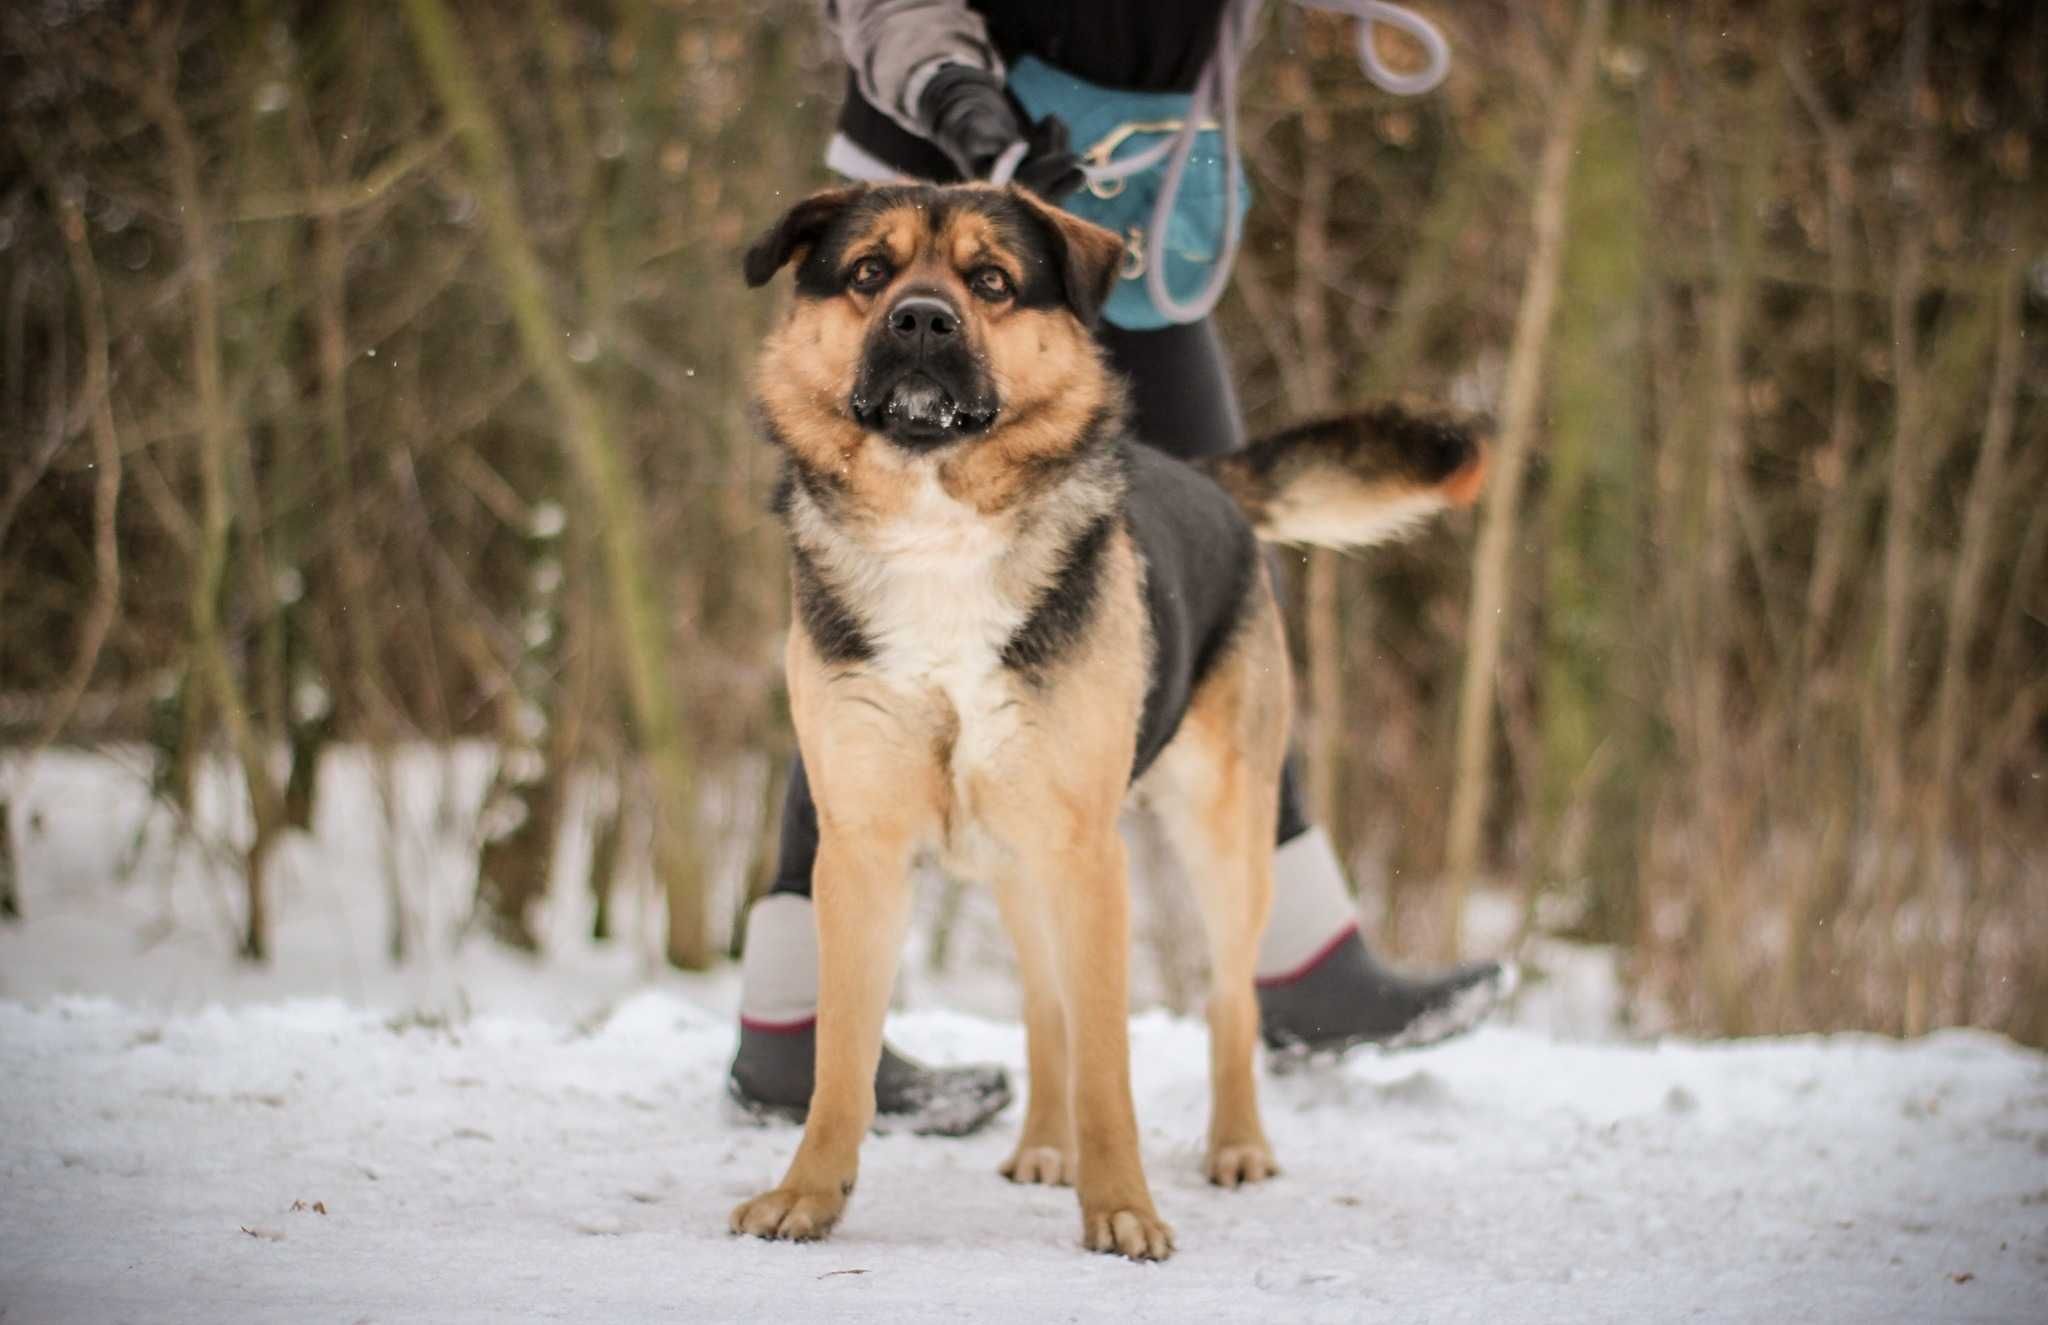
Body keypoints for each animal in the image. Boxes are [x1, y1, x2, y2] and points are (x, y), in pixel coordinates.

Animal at [737, 181, 1490, 1261]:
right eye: (870, 272)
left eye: (992, 281)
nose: (920, 320)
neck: (936, 523)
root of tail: (1207, 478)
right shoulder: (862, 844)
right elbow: (844, 1057)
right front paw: (807, 1192)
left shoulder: (1087, 853)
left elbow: (1108, 1063)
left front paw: (1123, 1206)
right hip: (1015, 859)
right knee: (1044, 1007)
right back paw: (1044, 1145)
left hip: (1216, 826)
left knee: (1229, 997)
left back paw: (1236, 1143)